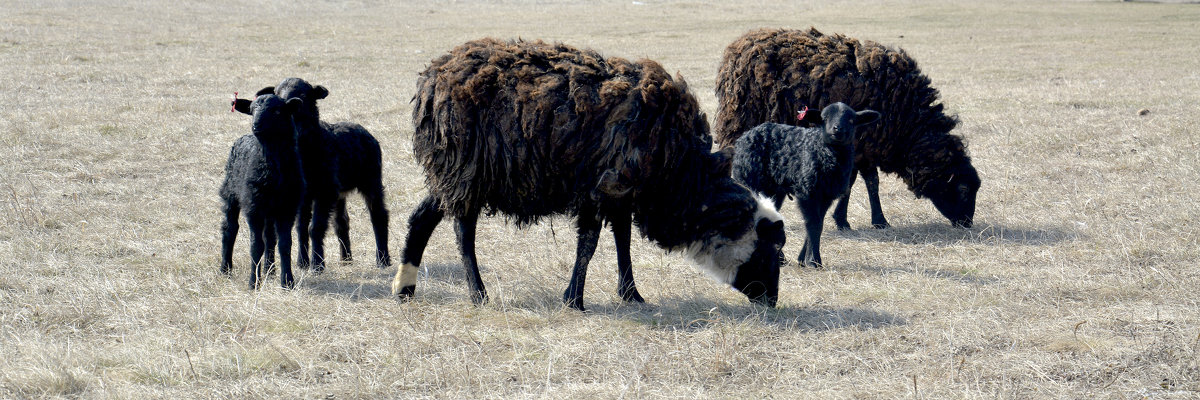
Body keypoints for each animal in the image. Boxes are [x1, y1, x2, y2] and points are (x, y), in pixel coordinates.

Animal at [219, 92, 304, 288]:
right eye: (252, 110)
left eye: (277, 111)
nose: (256, 125)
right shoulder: (254, 207)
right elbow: (255, 245)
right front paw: (254, 283)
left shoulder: (287, 208)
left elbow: (284, 245)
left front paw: (287, 282)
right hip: (230, 193)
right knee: (229, 229)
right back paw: (225, 269)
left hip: (270, 210)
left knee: (270, 237)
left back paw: (270, 270)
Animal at [232, 78, 388, 269]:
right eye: (276, 92)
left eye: (304, 93)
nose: (288, 102)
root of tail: (364, 131)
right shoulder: (305, 195)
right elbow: (301, 228)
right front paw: (302, 262)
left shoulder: (324, 191)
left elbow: (315, 228)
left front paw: (317, 265)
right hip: (340, 192)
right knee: (342, 221)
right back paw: (346, 259)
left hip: (371, 179)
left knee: (379, 216)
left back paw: (383, 259)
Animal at [393, 37, 787, 309]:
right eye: (770, 251)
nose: (772, 302)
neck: (685, 178)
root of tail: (430, 79)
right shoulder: (602, 189)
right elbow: (590, 244)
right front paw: (575, 300)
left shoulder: (621, 193)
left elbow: (622, 241)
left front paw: (631, 294)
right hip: (465, 170)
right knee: (463, 233)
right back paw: (478, 293)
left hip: (454, 173)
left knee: (422, 216)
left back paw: (405, 288)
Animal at [715, 27, 979, 227]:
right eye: (964, 188)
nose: (967, 223)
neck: (910, 126)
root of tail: (736, 48)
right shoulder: (866, 141)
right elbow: (863, 182)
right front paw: (866, 220)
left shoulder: (866, 144)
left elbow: (861, 181)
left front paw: (853, 219)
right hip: (741, 121)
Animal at [729, 102, 883, 267]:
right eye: (824, 118)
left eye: (851, 120)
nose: (837, 129)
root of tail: (746, 135)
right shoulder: (807, 192)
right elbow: (813, 224)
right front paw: (814, 261)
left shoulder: (826, 196)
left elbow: (818, 223)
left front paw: (803, 258)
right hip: (750, 181)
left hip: (774, 191)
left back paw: (779, 258)